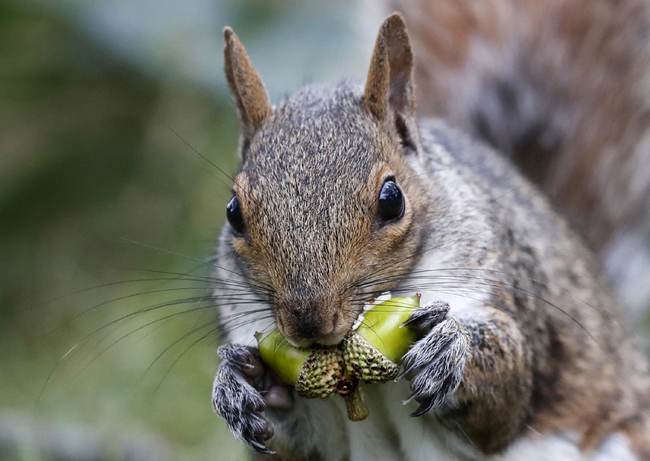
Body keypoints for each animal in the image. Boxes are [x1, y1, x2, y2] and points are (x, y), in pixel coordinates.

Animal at [210, 7, 644, 460]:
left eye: (392, 200)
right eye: (234, 212)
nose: (309, 322)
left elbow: (505, 401)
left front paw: (449, 346)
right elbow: (300, 437)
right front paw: (239, 383)